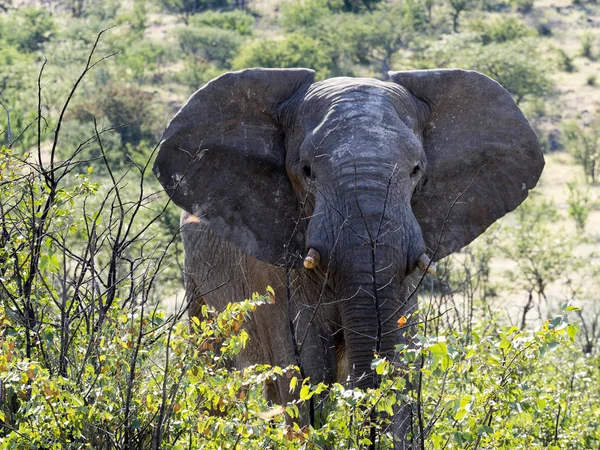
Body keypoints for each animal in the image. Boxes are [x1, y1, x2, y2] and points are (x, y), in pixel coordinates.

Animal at [151, 67, 544, 446]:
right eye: (307, 171)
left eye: (416, 170)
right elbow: (306, 371)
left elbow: (398, 363)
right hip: (197, 281)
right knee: (214, 365)